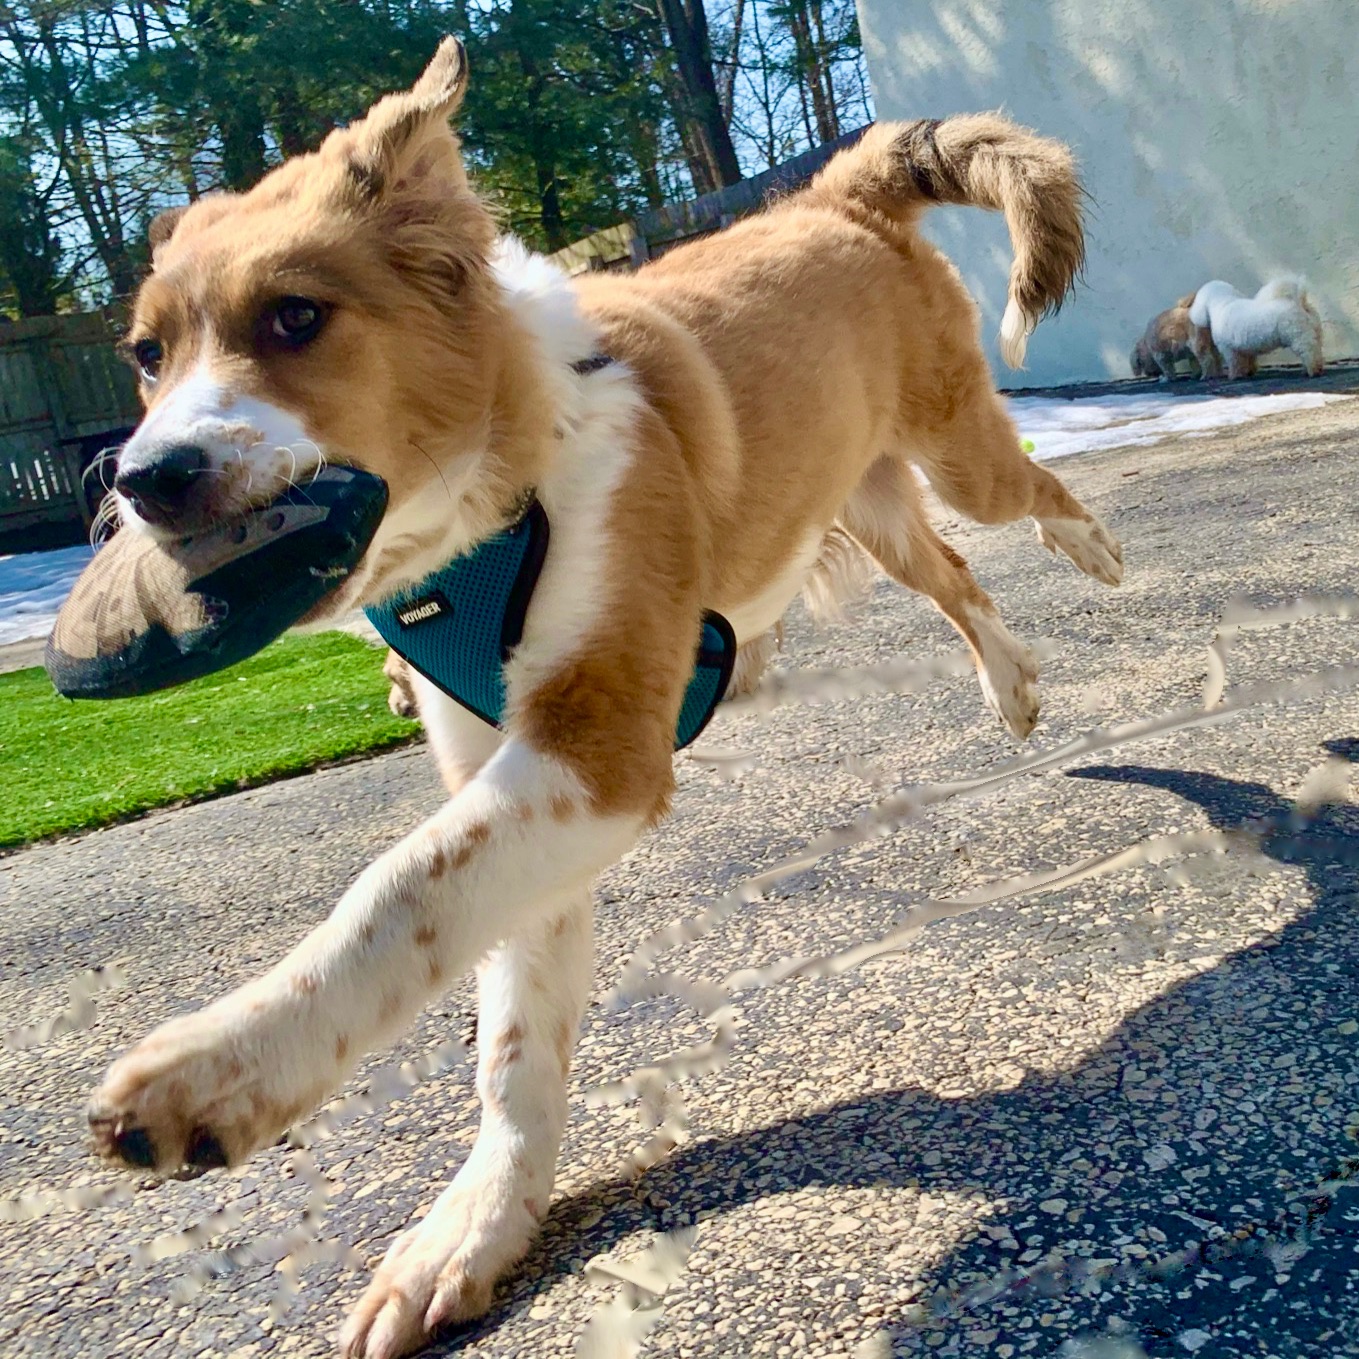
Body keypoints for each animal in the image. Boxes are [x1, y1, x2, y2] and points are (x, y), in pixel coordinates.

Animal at [87, 42, 1125, 1359]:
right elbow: (507, 1020)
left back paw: (1090, 551)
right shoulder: (515, 774)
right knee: (955, 576)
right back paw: (1012, 688)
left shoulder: (599, 747)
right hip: (869, 501)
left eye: (296, 316)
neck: (493, 492)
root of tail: (831, 196)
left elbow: (396, 887)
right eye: (145, 354)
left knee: (1028, 498)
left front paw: (221, 1066)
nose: (146, 479)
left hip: (952, 451)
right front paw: (478, 1225)